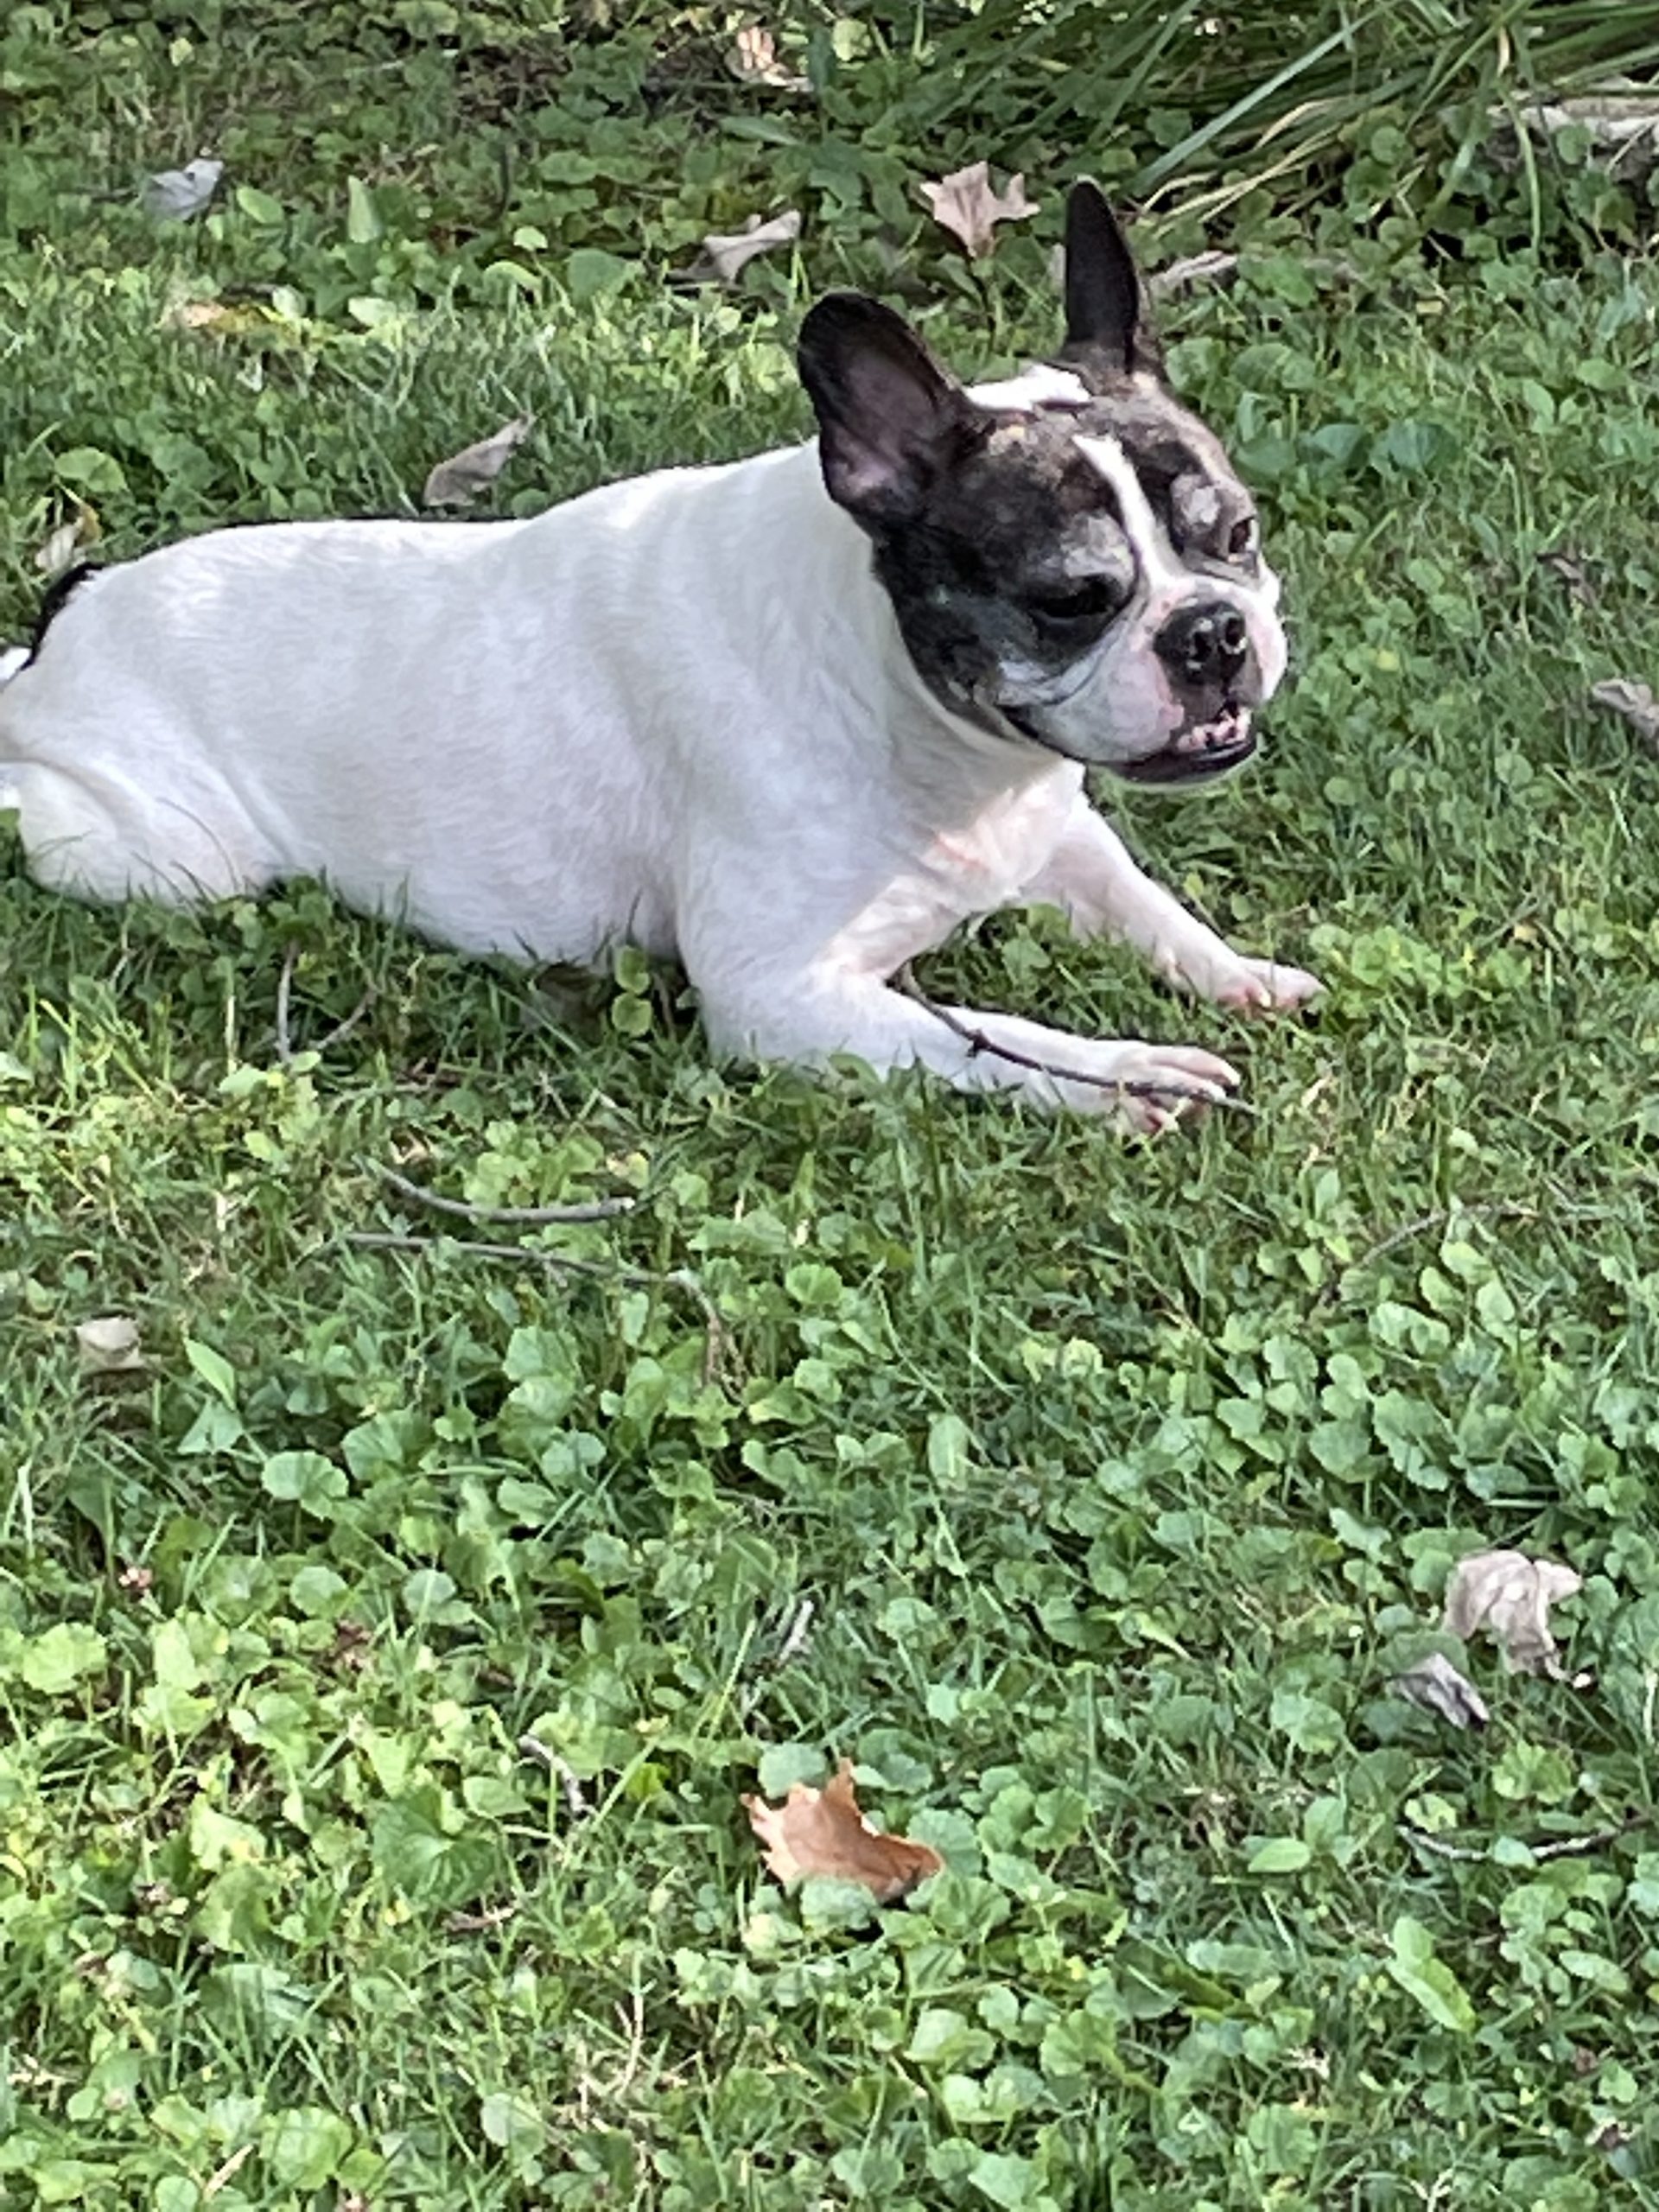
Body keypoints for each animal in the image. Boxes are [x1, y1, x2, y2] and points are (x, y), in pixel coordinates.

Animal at [3, 181, 1327, 1132]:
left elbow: (1147, 903)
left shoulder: (1058, 835)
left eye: (1238, 535)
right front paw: (1125, 1073)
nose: (1212, 633)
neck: (921, 718)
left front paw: (1240, 972)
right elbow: (988, 1037)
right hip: (165, 857)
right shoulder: (781, 999)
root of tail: (66, 628)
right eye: (1071, 600)